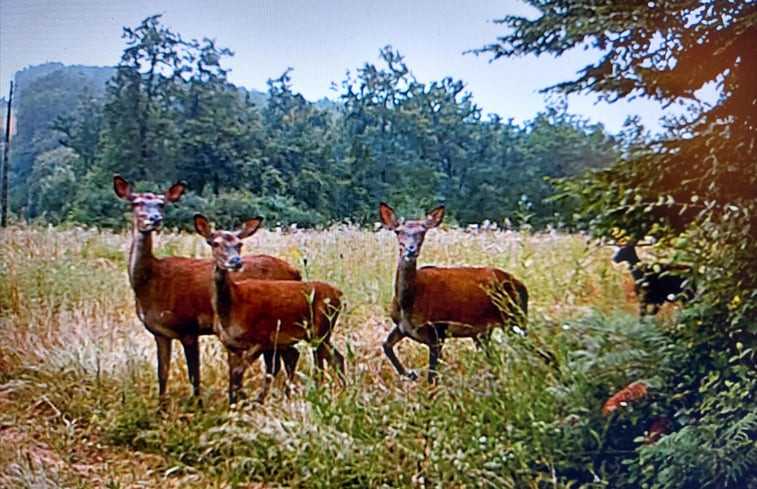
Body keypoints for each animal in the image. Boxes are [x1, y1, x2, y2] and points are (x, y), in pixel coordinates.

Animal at [113, 175, 302, 404]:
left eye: (161, 204)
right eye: (136, 202)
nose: (155, 219)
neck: (152, 283)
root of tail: (296, 272)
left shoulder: (188, 326)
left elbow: (194, 374)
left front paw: (197, 405)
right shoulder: (159, 332)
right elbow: (162, 374)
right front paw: (161, 408)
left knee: (283, 359)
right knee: (282, 359)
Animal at [192, 214, 346, 404]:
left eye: (239, 244)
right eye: (215, 243)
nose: (236, 261)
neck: (232, 306)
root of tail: (338, 293)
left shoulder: (262, 338)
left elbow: (240, 372)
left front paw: (248, 401)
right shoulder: (231, 344)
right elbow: (233, 376)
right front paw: (234, 403)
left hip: (320, 329)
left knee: (320, 362)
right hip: (319, 333)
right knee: (335, 357)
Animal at [376, 201, 524, 382]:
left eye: (422, 232)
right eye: (398, 231)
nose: (411, 250)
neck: (408, 303)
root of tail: (521, 286)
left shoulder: (438, 329)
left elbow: (432, 376)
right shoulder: (402, 327)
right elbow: (386, 345)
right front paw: (410, 373)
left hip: (514, 318)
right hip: (484, 331)